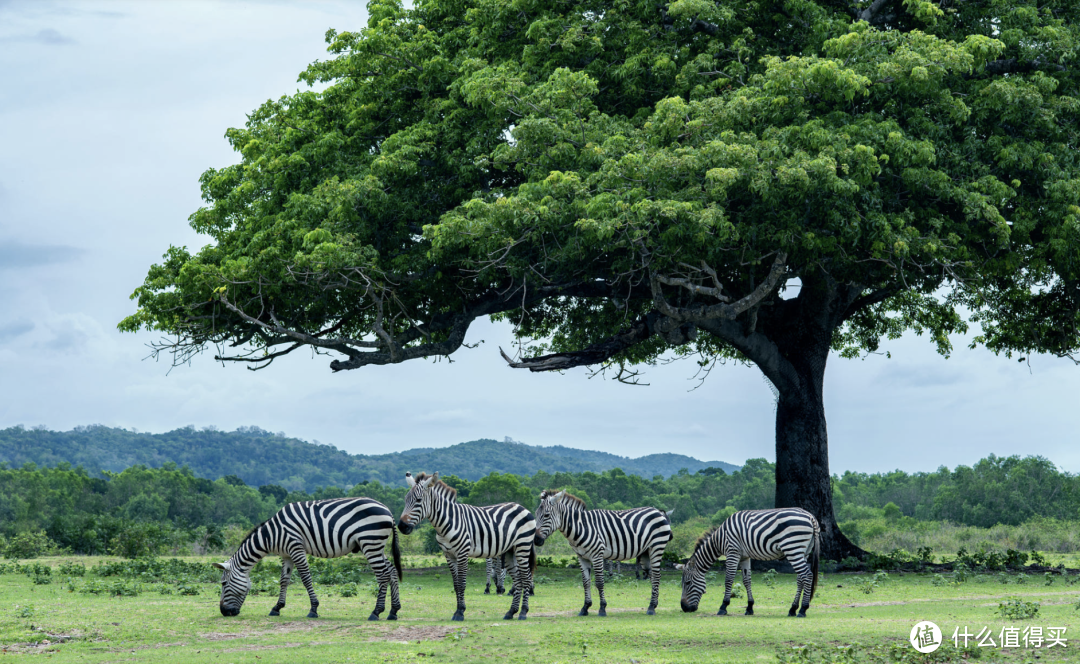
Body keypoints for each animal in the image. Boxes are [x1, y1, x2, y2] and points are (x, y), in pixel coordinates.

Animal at [212, 498, 403, 621]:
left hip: (370, 541)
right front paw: (277, 607)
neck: (272, 534)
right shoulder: (286, 554)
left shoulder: (296, 547)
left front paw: (313, 609)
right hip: (376, 545)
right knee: (391, 570)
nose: (224, 612)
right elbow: (284, 580)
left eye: (223, 584)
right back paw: (393, 611)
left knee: (382, 575)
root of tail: (388, 511)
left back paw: (376, 612)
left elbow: (305, 578)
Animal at [397, 470, 535, 621]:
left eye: (418, 500)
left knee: (526, 578)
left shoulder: (462, 553)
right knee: (518, 580)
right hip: (510, 551)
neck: (447, 522)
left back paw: (523, 612)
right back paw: (511, 612)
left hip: (523, 547)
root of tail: (521, 507)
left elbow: (462, 584)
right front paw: (457, 610)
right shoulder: (449, 555)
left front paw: (460, 612)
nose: (401, 526)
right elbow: (456, 585)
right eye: (405, 500)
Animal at [533, 488, 673, 617]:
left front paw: (602, 608)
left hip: (657, 547)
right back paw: (652, 605)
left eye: (546, 515)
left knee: (657, 576)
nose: (536, 540)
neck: (582, 526)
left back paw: (651, 608)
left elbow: (599, 582)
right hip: (645, 552)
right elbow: (586, 582)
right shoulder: (582, 557)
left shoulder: (597, 555)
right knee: (652, 575)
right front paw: (585, 608)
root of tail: (656, 511)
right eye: (535, 514)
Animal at [678, 509, 820, 617]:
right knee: (800, 578)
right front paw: (749, 607)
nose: (684, 608)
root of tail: (811, 516)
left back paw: (803, 609)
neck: (720, 539)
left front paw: (723, 606)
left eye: (688, 583)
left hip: (792, 548)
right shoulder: (744, 557)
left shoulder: (732, 551)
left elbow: (729, 579)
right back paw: (793, 609)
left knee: (807, 576)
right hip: (804, 551)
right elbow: (747, 580)